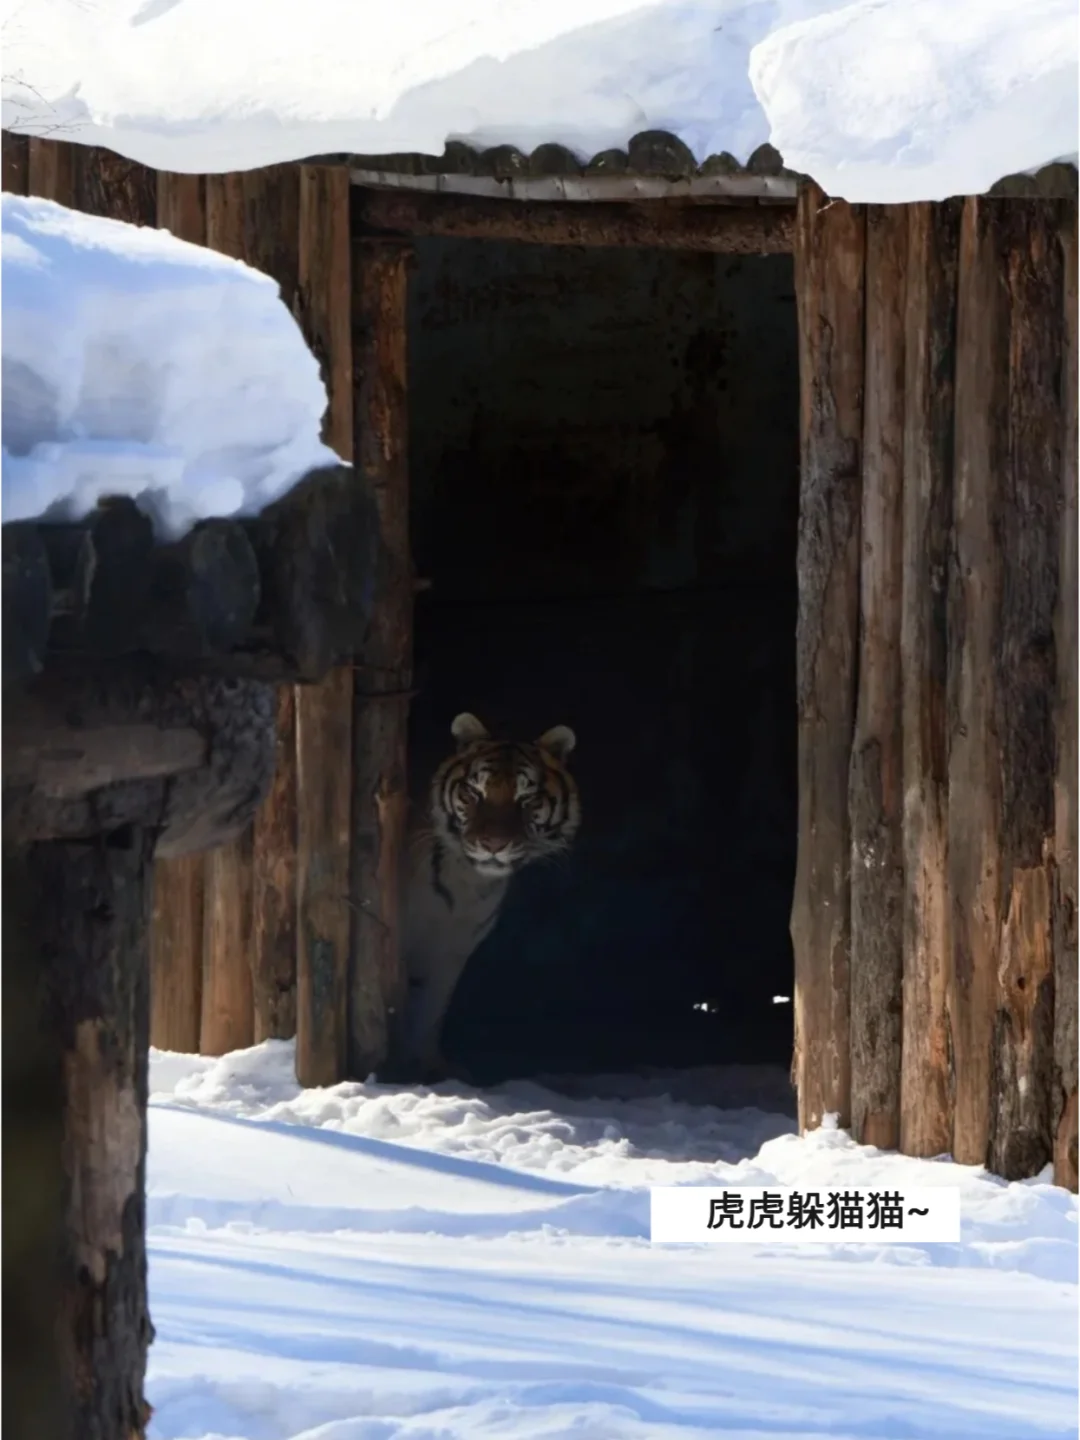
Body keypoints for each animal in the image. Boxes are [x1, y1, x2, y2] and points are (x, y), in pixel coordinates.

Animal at [392, 711, 580, 1083]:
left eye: (527, 798)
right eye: (474, 792)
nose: (493, 845)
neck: (465, 879)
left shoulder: (452, 948)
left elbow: (431, 1009)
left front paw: (429, 1067)